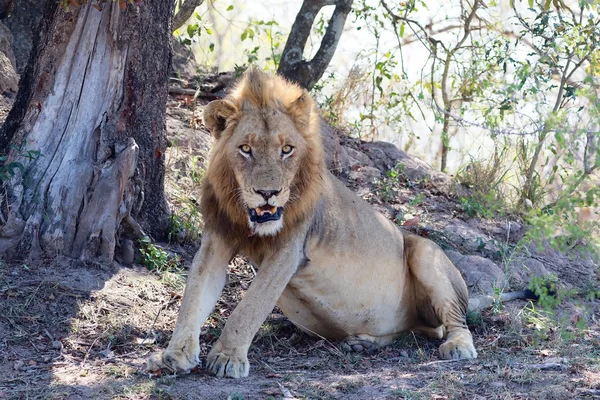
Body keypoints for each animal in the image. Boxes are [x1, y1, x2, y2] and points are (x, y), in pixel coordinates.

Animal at [146, 68, 478, 378]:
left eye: (286, 149)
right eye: (246, 149)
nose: (267, 193)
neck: (245, 218)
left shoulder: (289, 250)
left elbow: (249, 308)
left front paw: (228, 359)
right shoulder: (217, 239)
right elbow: (193, 295)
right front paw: (175, 354)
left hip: (425, 252)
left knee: (453, 323)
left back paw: (458, 346)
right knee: (412, 330)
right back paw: (363, 342)